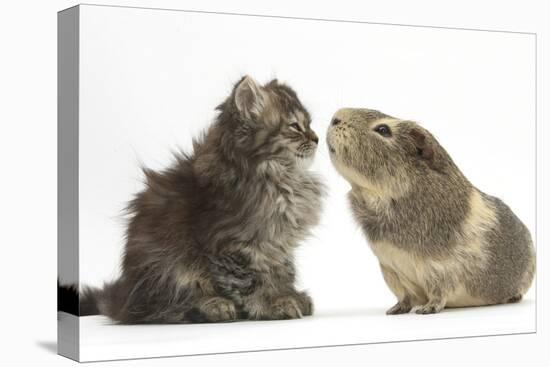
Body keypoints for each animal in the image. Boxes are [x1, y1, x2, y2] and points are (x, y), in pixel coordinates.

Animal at [78, 76, 328, 324]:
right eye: (295, 126)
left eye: (309, 124)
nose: (316, 139)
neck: (279, 176)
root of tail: (123, 298)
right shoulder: (233, 245)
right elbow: (251, 282)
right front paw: (271, 303)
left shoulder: (277, 245)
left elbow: (282, 272)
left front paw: (289, 295)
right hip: (169, 270)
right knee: (165, 309)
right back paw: (213, 305)